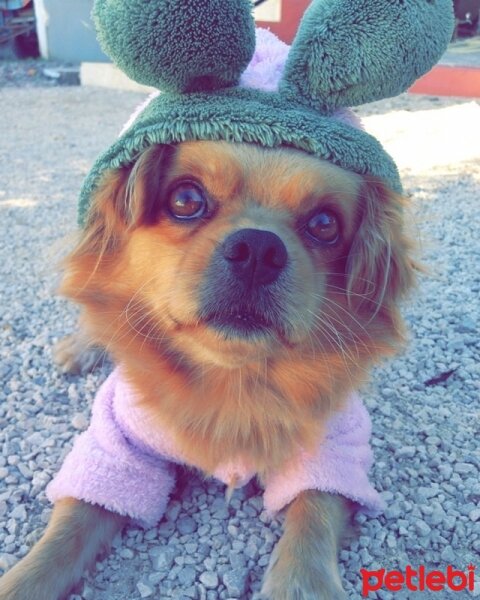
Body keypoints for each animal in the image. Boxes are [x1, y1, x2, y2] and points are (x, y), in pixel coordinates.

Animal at [0, 141, 416, 600]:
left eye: (325, 224)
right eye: (185, 199)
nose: (258, 248)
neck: (231, 376)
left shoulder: (336, 444)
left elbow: (314, 515)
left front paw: (302, 585)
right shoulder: (116, 447)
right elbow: (69, 529)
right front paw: (22, 580)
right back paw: (81, 348)